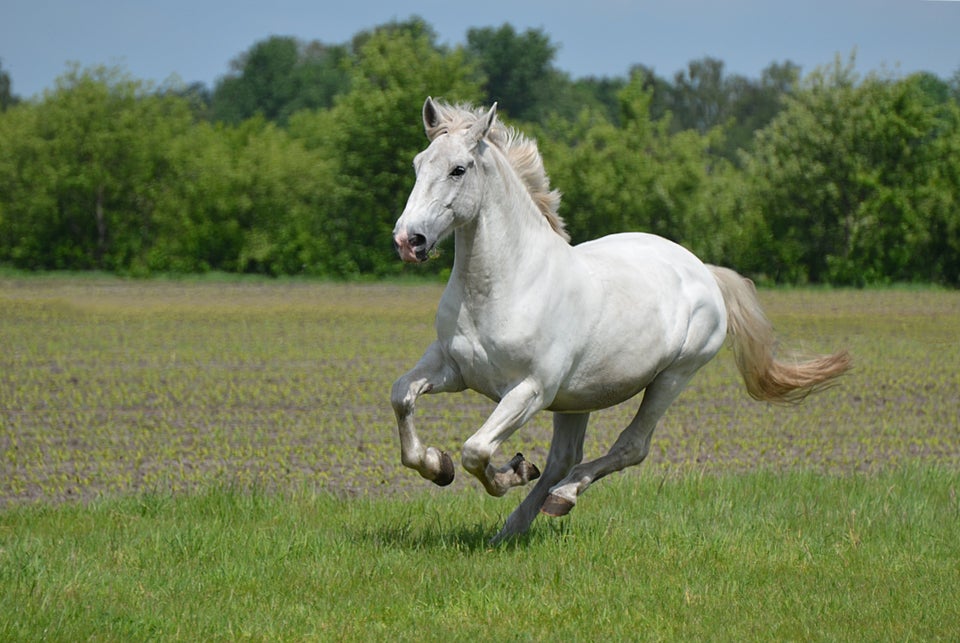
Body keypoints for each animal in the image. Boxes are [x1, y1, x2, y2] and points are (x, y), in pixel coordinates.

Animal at [390, 99, 848, 544]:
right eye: (418, 163)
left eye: (459, 169)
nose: (408, 240)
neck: (505, 286)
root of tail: (704, 270)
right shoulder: (453, 368)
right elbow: (402, 397)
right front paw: (438, 466)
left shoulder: (530, 390)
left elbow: (476, 450)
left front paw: (510, 471)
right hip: (576, 398)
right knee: (563, 459)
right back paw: (513, 528)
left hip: (672, 377)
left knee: (630, 447)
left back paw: (562, 497)